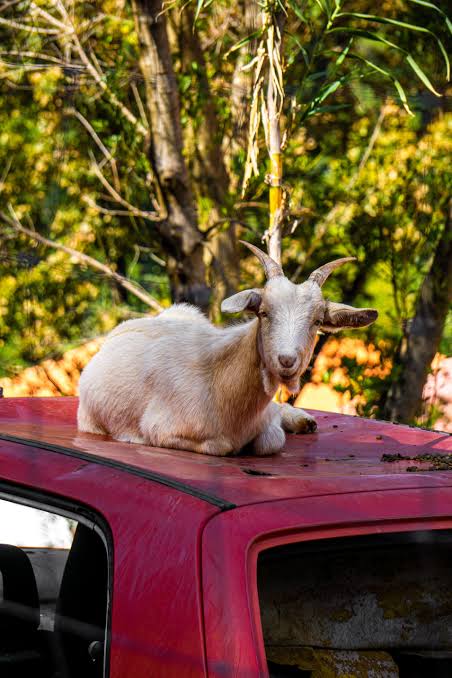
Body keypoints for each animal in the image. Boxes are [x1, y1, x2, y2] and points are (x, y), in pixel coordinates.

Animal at [77, 242, 378, 456]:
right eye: (264, 313)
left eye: (316, 321)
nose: (286, 360)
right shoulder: (160, 429)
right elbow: (222, 446)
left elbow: (272, 438)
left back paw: (302, 420)